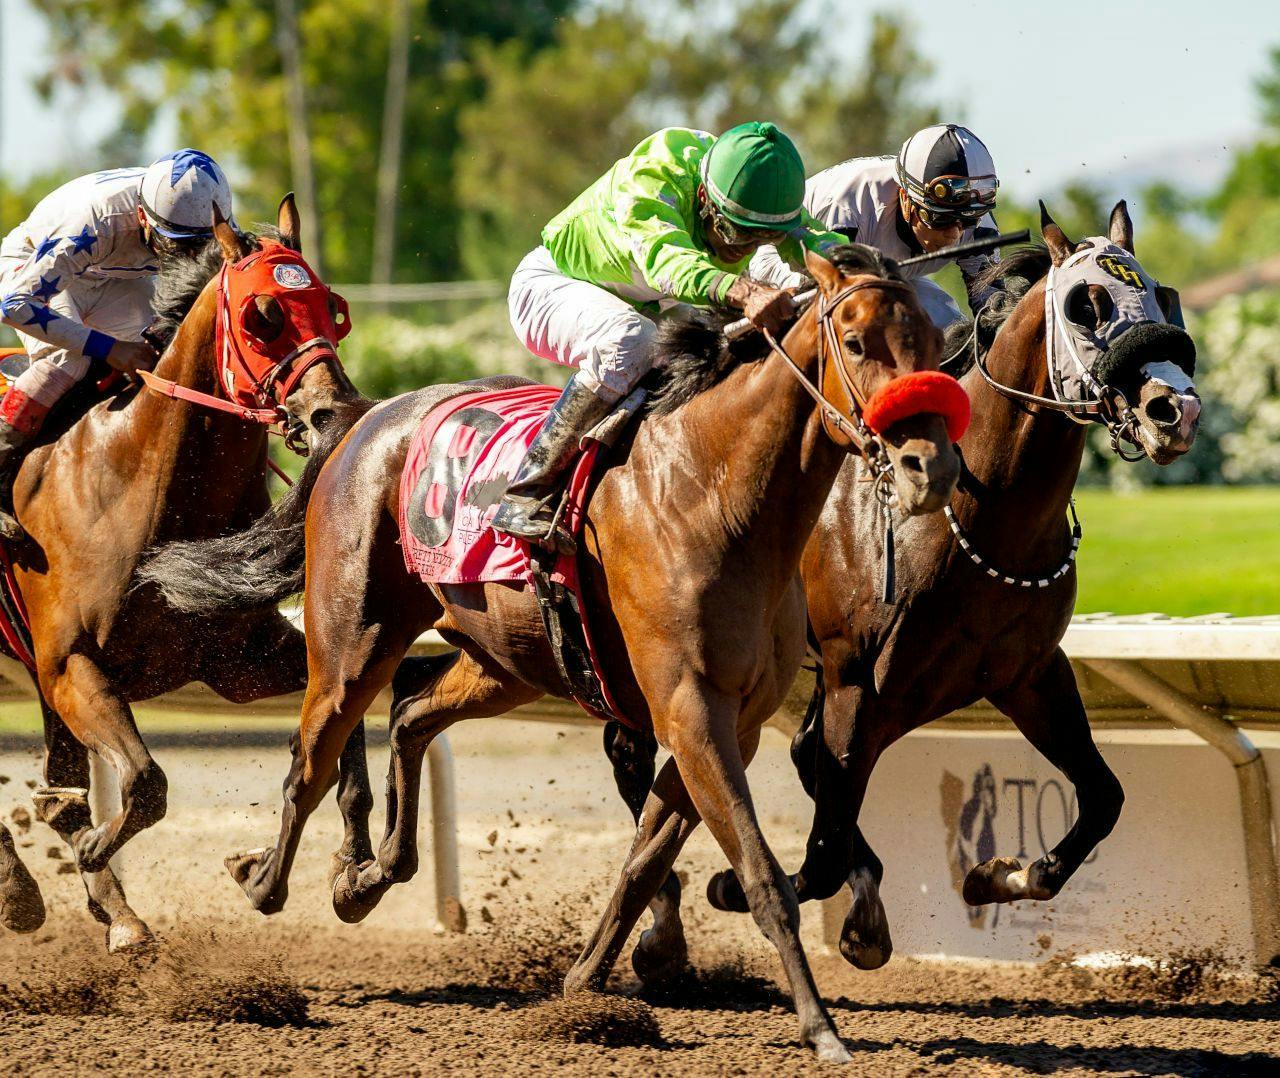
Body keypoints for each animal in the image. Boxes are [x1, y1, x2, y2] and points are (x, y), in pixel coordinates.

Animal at [1, 197, 373, 947]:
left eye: (332, 306)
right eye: (264, 314)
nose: (338, 412)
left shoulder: (242, 662)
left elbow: (342, 730)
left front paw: (351, 870)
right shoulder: (69, 665)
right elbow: (146, 783)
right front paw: (94, 852)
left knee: (61, 786)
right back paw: (23, 890)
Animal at [147, 243, 962, 1060]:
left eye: (931, 342)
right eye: (855, 341)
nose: (931, 466)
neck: (716, 494)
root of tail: (363, 419)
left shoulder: (732, 721)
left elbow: (644, 861)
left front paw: (584, 984)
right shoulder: (691, 711)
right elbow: (762, 875)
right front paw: (822, 1028)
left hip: (506, 660)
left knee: (410, 713)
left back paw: (370, 876)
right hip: (353, 640)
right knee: (310, 762)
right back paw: (268, 879)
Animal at [655, 202, 1203, 967]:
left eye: (1164, 297)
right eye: (1086, 305)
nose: (1174, 410)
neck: (981, 510)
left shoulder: (1026, 673)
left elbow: (1103, 796)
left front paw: (999, 874)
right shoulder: (858, 679)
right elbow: (822, 842)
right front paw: (746, 888)